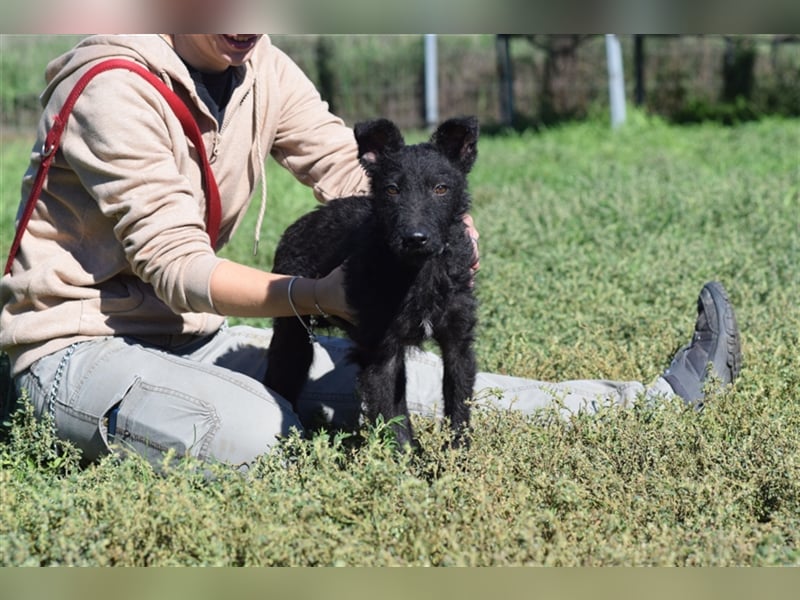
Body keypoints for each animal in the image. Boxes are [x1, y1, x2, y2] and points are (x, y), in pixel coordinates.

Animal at [266, 117, 478, 448]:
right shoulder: (381, 352)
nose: (415, 238)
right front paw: (404, 460)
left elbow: (458, 406)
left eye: (441, 188)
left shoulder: (458, 342)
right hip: (293, 334)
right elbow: (392, 414)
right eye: (392, 189)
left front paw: (457, 455)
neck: (418, 272)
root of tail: (299, 225)